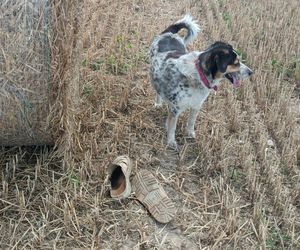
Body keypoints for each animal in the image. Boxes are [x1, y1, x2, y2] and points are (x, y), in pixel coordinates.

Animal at [149, 14, 252, 148]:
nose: (251, 72)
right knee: (158, 90)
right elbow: (172, 127)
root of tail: (169, 33)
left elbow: (191, 122)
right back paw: (158, 103)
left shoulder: (196, 105)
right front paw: (171, 142)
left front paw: (189, 133)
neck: (199, 74)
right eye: (236, 63)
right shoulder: (176, 108)